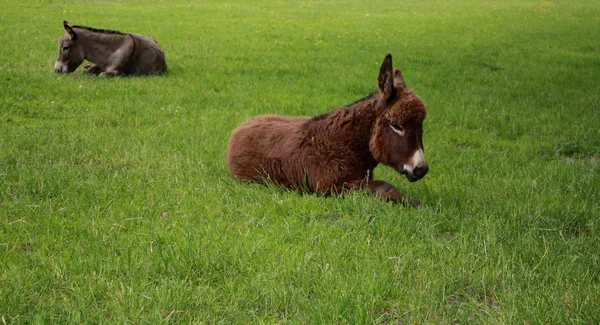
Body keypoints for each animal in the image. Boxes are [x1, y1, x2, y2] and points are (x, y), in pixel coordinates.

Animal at [227, 53, 428, 205]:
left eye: (421, 127)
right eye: (397, 126)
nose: (422, 170)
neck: (345, 144)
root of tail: (242, 125)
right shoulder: (332, 188)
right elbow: (385, 186)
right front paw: (418, 204)